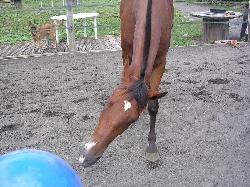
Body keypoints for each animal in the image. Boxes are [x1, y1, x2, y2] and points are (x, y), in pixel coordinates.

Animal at [80, 0, 174, 167]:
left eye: (131, 120)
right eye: (107, 104)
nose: (87, 157)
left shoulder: (161, 62)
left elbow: (153, 106)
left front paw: (152, 147)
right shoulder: (126, 52)